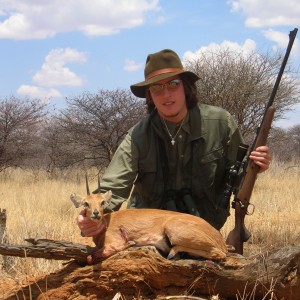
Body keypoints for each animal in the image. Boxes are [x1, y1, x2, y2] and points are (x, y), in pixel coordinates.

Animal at [71, 177, 227, 264]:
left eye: (102, 202)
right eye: (86, 203)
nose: (96, 213)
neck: (105, 225)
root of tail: (219, 237)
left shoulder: (113, 242)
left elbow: (92, 256)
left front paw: (131, 243)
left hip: (175, 232)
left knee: (219, 254)